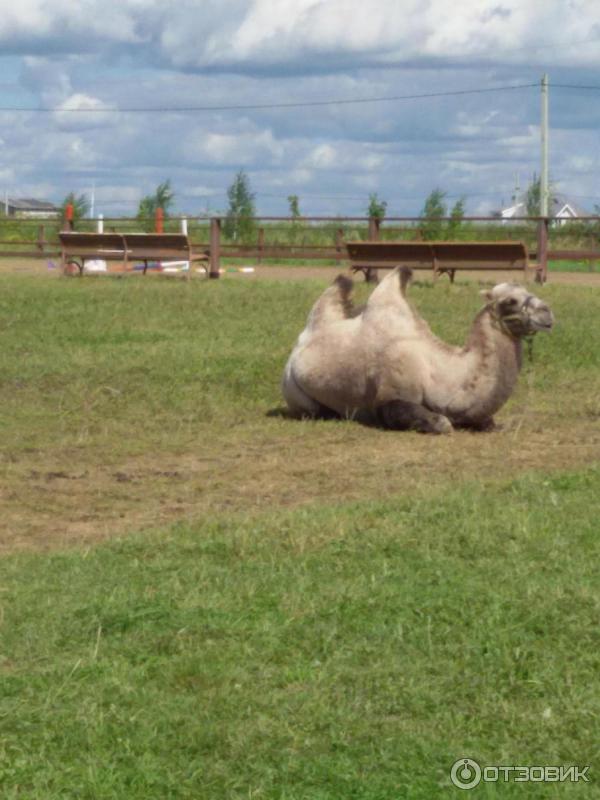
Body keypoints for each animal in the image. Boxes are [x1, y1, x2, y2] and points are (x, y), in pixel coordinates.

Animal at [282, 268, 552, 432]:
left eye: (528, 292)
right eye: (510, 301)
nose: (547, 312)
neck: (444, 378)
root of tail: (302, 341)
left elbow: (487, 421)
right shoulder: (390, 398)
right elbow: (442, 423)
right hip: (295, 392)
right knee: (313, 409)